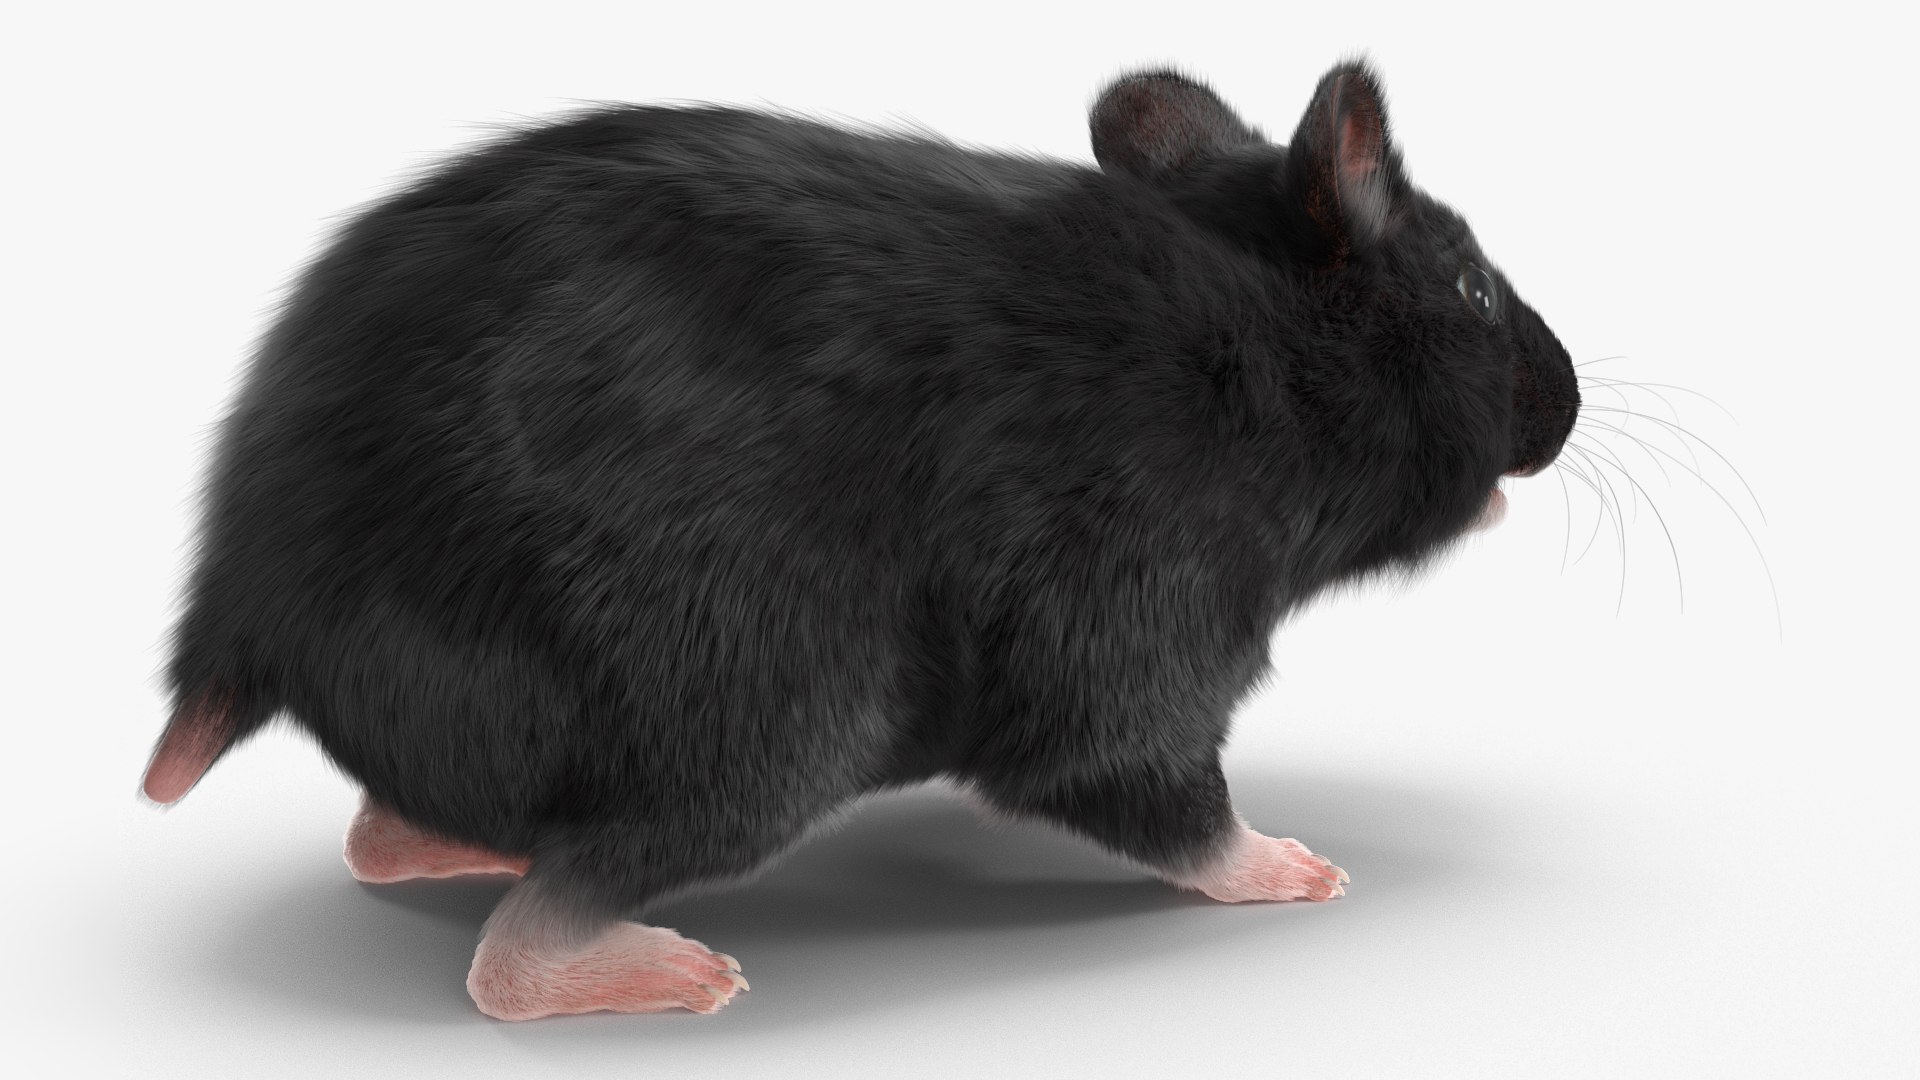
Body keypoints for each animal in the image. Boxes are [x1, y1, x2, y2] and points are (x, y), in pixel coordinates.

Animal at [143, 60, 1579, 1021]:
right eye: (1470, 290)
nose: (1563, 403)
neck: (1269, 346)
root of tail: (243, 622)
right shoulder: (1141, 623)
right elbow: (1142, 779)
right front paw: (1281, 866)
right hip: (764, 715)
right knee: (514, 957)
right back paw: (650, 965)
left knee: (383, 837)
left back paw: (460, 846)